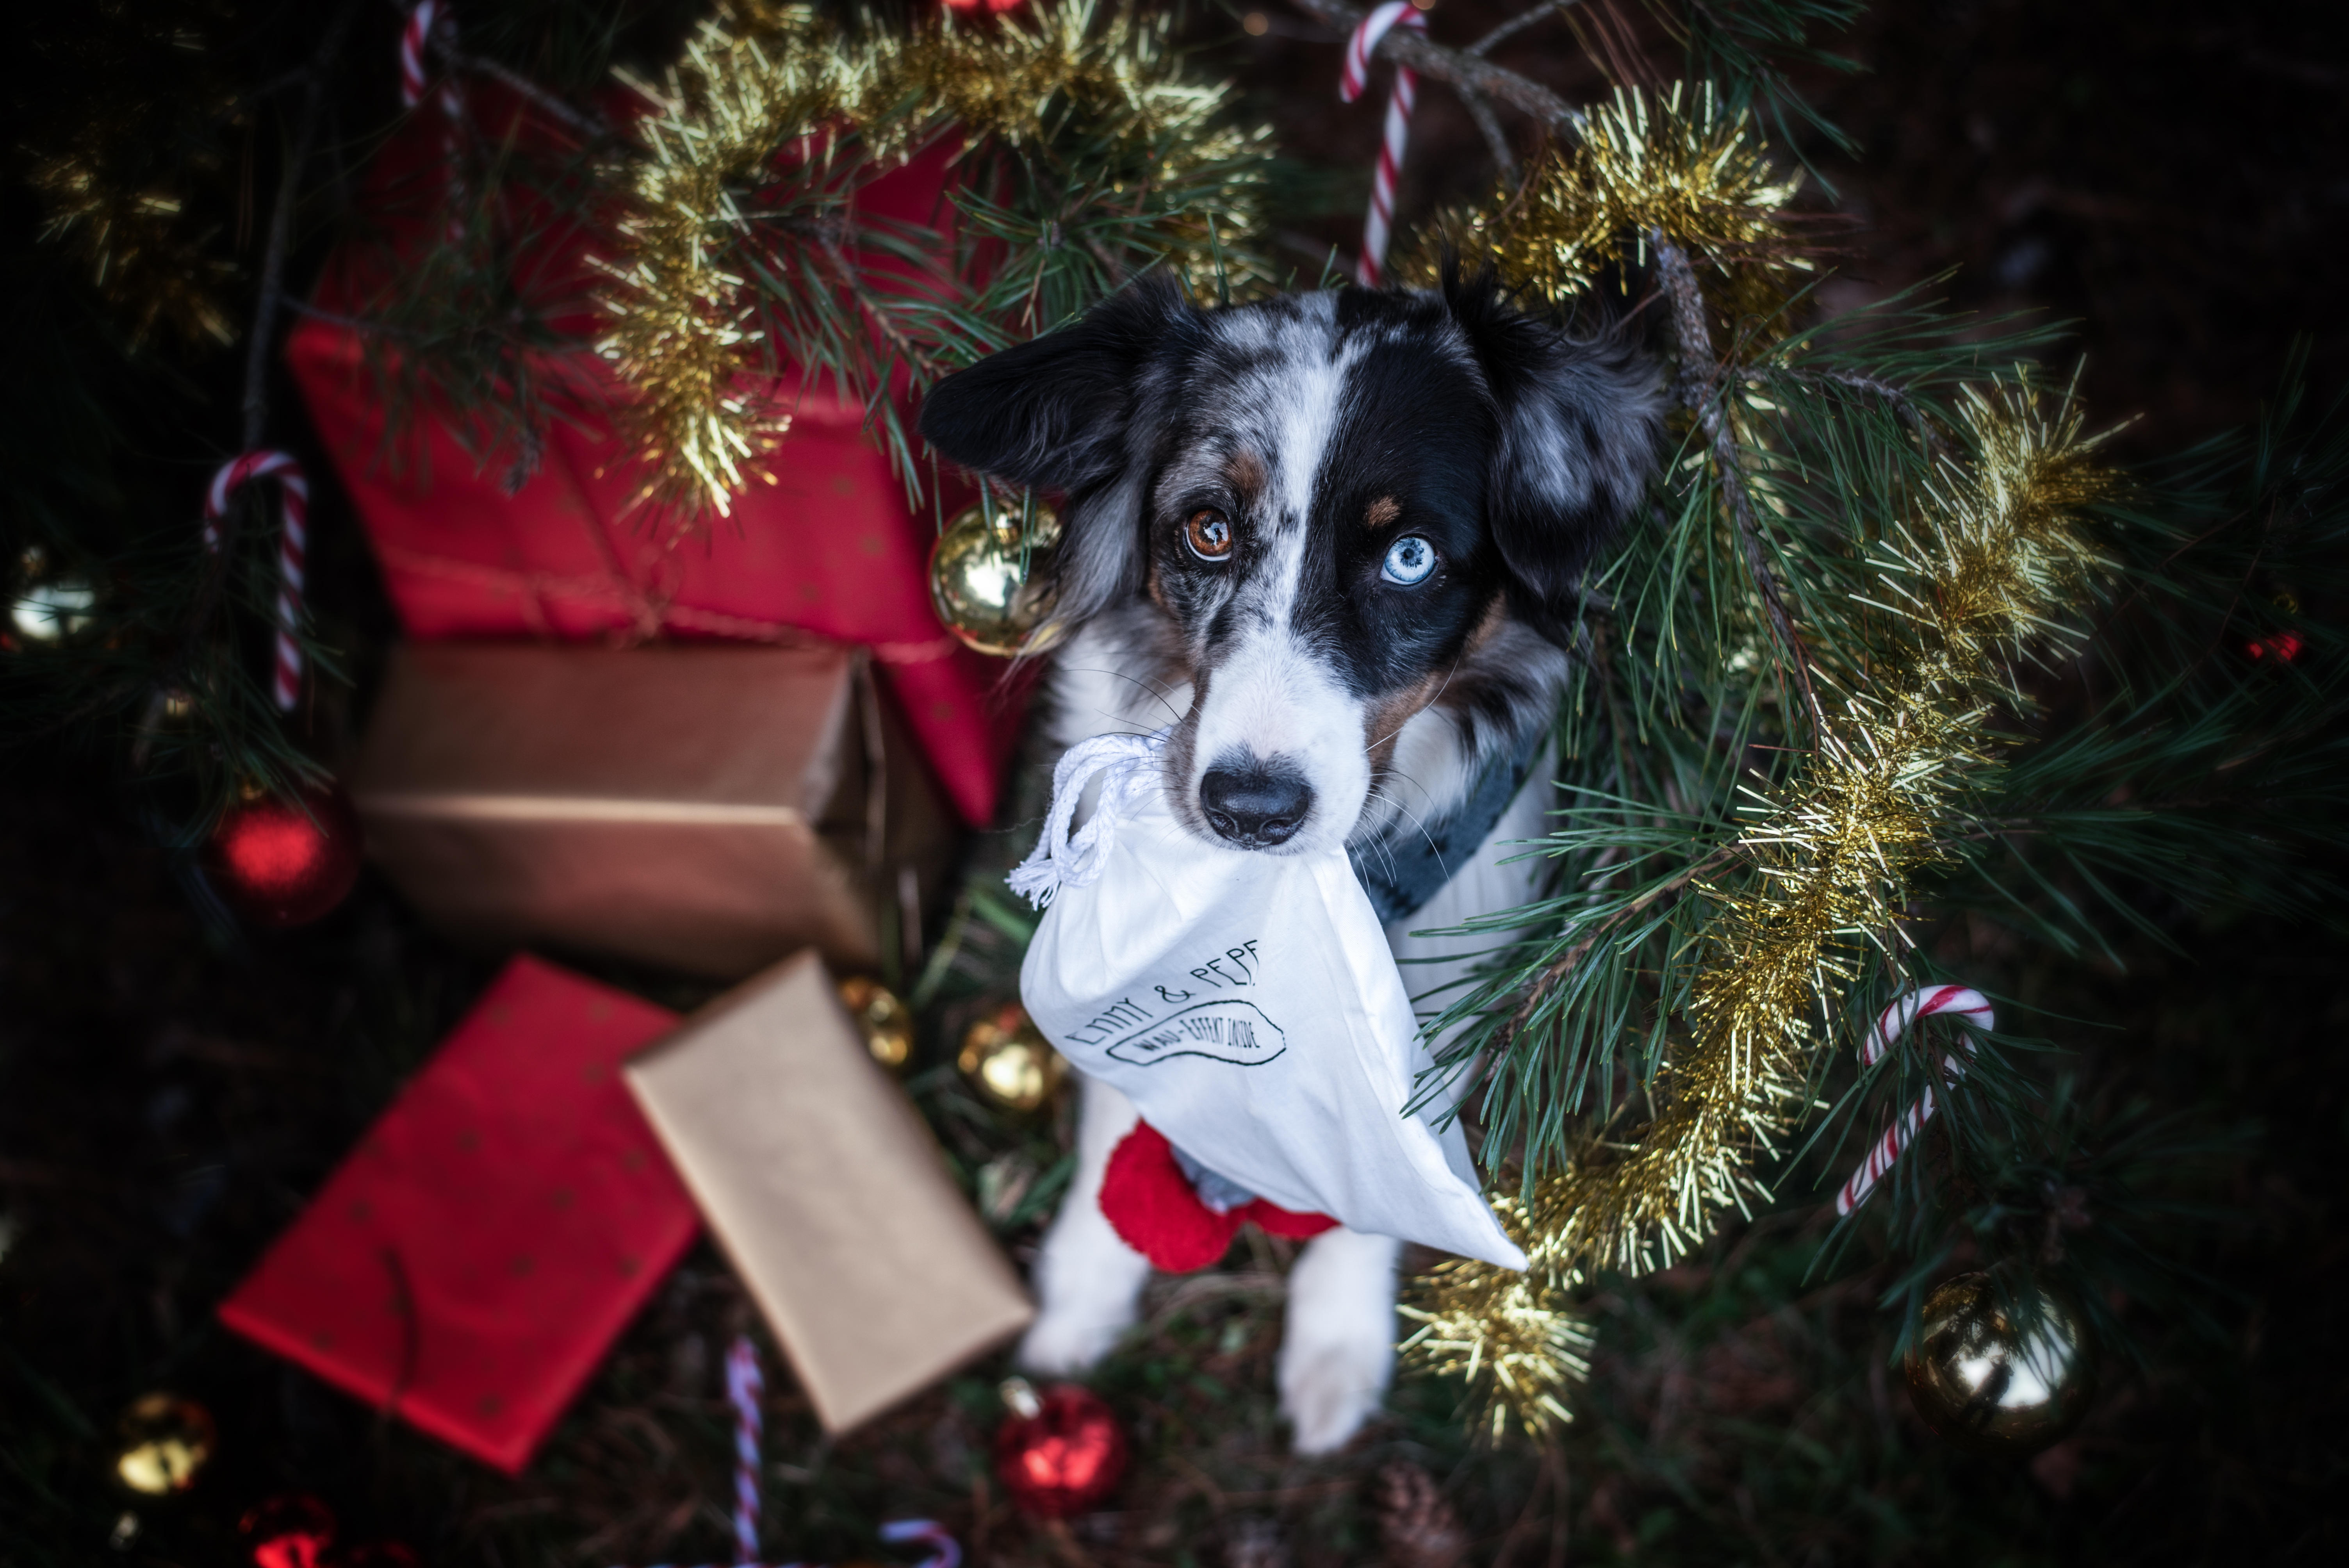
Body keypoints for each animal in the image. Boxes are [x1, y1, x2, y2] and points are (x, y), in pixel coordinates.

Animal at [907, 272, 1663, 1455]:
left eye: (1409, 557)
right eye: (1208, 530)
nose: (1248, 809)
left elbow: (1390, 1150)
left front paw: (1338, 1344)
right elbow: (1128, 1088)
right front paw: (1082, 1291)